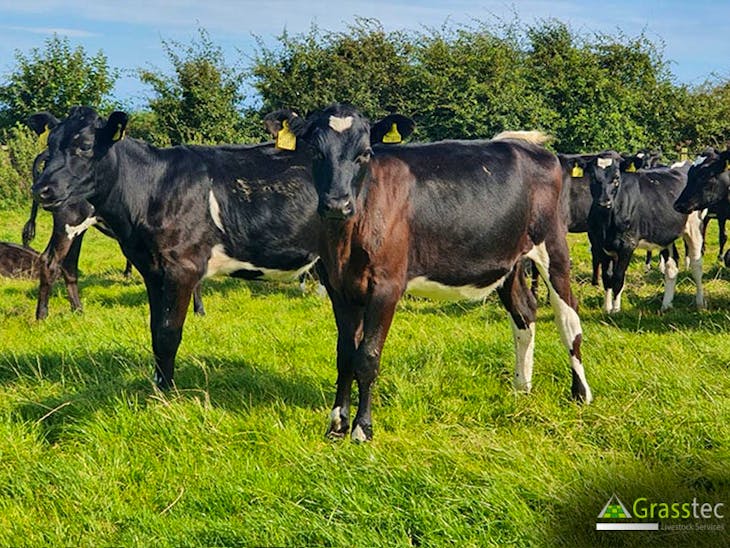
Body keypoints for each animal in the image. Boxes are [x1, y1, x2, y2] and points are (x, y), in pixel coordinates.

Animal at [30, 106, 320, 390]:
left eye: (85, 145)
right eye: (51, 143)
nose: (42, 189)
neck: (152, 189)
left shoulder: (180, 266)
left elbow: (168, 331)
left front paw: (166, 391)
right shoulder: (154, 268)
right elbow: (158, 330)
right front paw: (161, 389)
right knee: (55, 262)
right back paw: (50, 315)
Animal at [287, 103, 592, 442]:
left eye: (365, 153)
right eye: (315, 151)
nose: (337, 204)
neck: (346, 237)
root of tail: (533, 148)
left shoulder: (386, 286)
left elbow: (367, 358)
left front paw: (362, 429)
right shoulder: (339, 286)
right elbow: (344, 356)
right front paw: (336, 425)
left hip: (553, 245)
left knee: (568, 317)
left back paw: (580, 393)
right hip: (510, 259)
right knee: (524, 312)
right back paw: (521, 387)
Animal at [581, 150, 704, 313]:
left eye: (617, 178)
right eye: (593, 177)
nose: (604, 201)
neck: (606, 221)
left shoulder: (627, 244)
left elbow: (618, 278)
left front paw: (616, 310)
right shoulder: (600, 245)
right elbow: (607, 277)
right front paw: (606, 308)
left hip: (695, 228)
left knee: (697, 265)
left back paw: (700, 303)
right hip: (665, 234)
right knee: (672, 267)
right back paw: (666, 305)